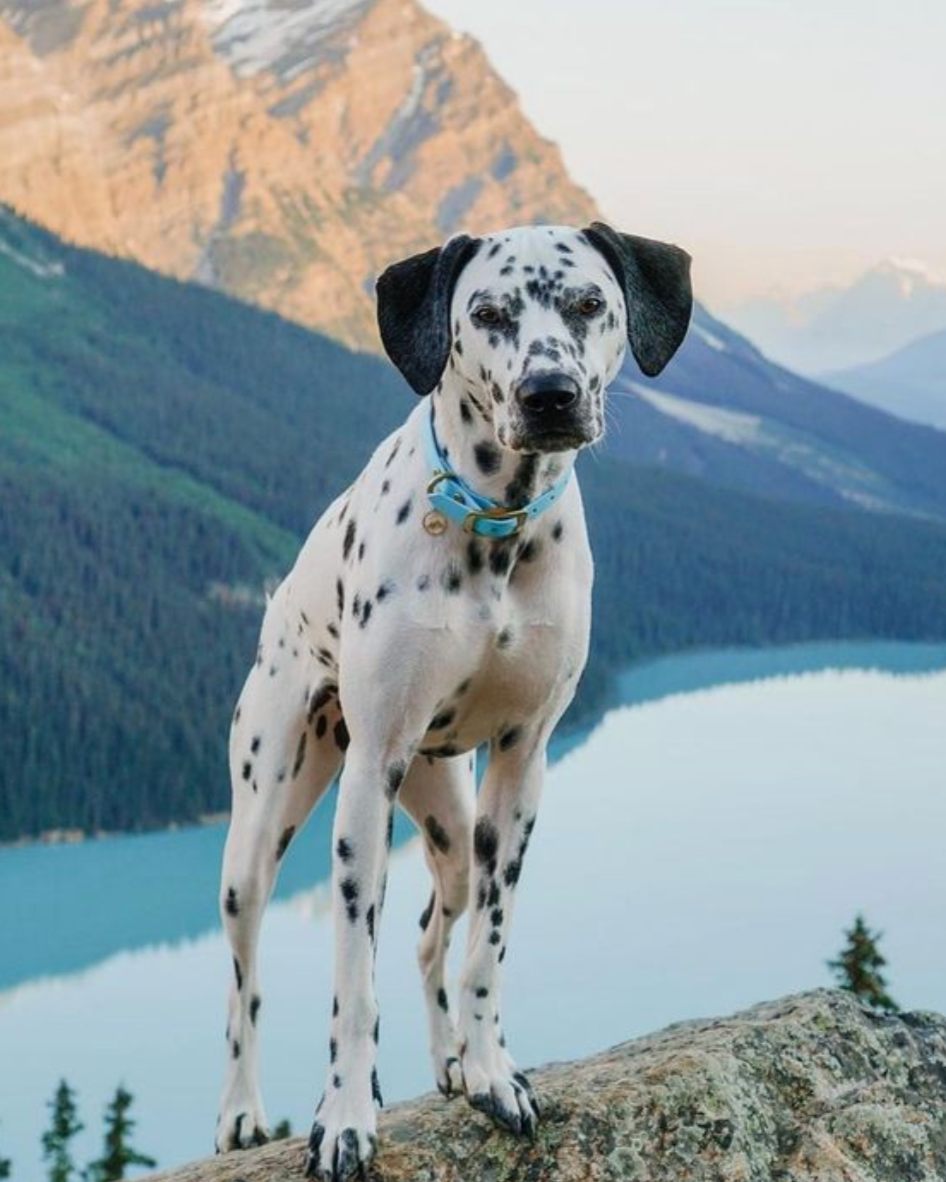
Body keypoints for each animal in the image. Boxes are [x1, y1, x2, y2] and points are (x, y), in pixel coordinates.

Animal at [216, 222, 695, 1182]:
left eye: (590, 302)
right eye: (488, 313)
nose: (550, 395)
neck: (495, 529)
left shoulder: (522, 763)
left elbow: (484, 954)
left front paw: (489, 1072)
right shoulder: (371, 773)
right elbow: (351, 983)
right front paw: (344, 1117)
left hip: (450, 826)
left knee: (432, 933)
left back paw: (446, 1062)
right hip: (262, 831)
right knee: (245, 987)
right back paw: (243, 1114)